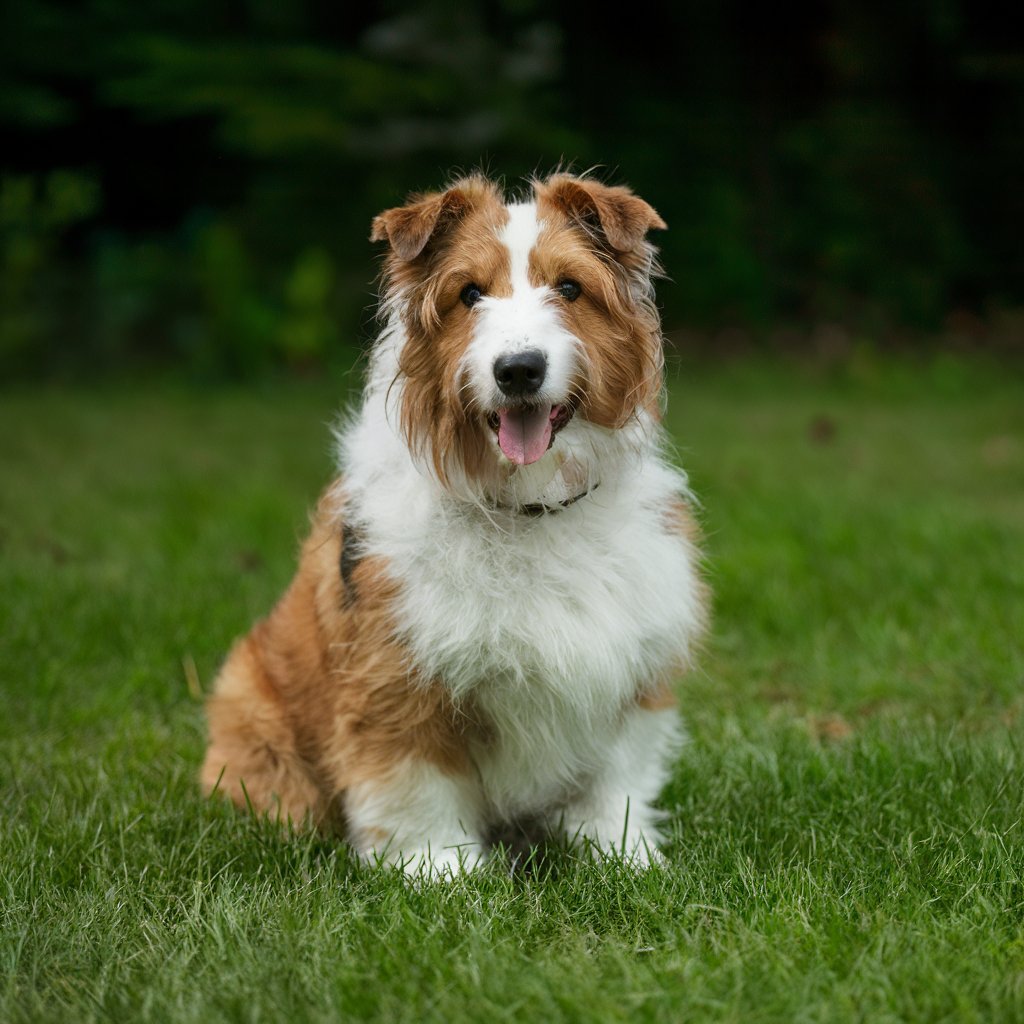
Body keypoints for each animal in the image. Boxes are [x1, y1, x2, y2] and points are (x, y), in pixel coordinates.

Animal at [202, 172, 708, 876]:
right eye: (470, 293)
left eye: (569, 288)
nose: (518, 369)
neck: (527, 507)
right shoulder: (397, 678)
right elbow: (417, 785)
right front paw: (438, 871)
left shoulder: (631, 667)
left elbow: (616, 780)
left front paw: (624, 855)